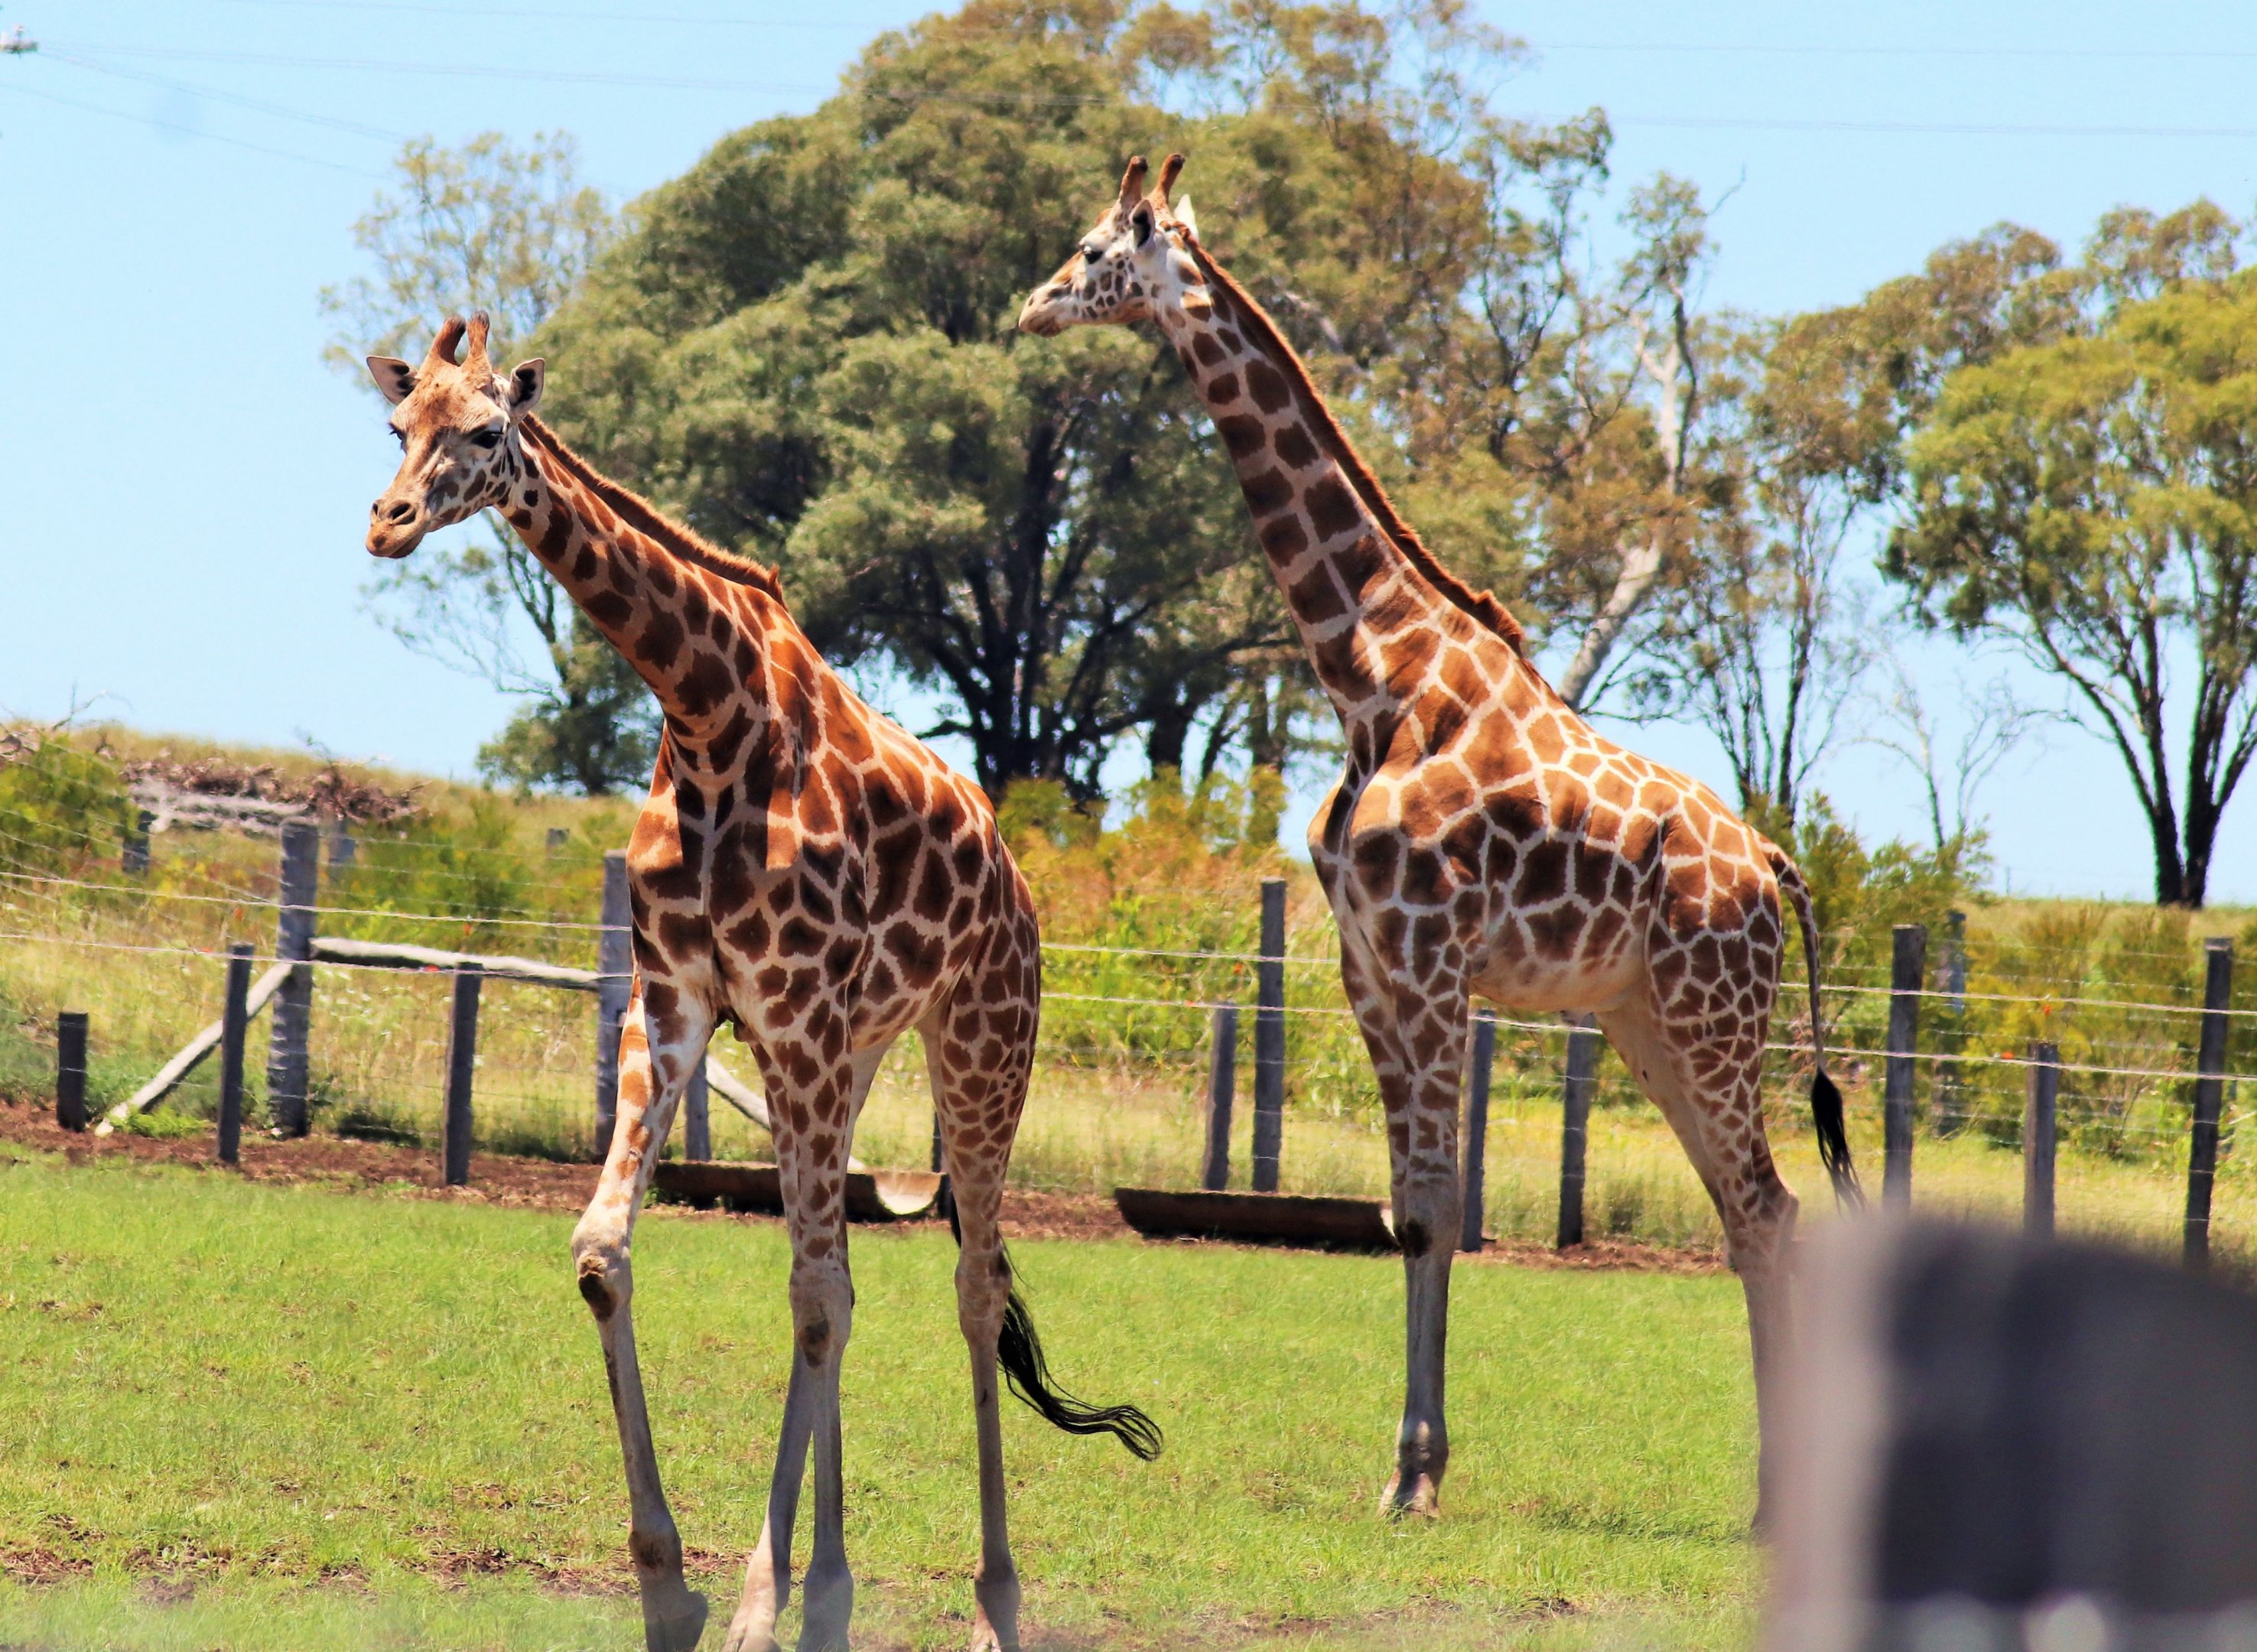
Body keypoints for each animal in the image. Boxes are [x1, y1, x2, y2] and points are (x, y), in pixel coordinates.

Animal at [362, 314, 1160, 1652]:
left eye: (484, 429)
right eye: (395, 424)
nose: (388, 519)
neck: (704, 709)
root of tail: (1015, 880)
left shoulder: (787, 1008)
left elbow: (816, 1298)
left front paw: (753, 1604)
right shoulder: (681, 997)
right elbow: (611, 1253)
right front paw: (672, 1586)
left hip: (980, 1043)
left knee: (967, 1286)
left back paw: (992, 1603)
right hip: (850, 1052)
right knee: (845, 1271)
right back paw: (832, 1592)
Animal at [1018, 158, 1859, 1519]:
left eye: (1097, 250)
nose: (1031, 304)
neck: (1370, 675)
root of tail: (1773, 872)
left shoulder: (1425, 962)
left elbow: (1435, 1205)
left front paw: (1414, 1479)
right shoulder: (1367, 965)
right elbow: (1407, 1209)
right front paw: (1410, 1469)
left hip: (1710, 1015)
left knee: (1765, 1209)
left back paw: (1779, 1503)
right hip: (1643, 1020)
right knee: (1753, 1212)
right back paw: (1768, 1497)